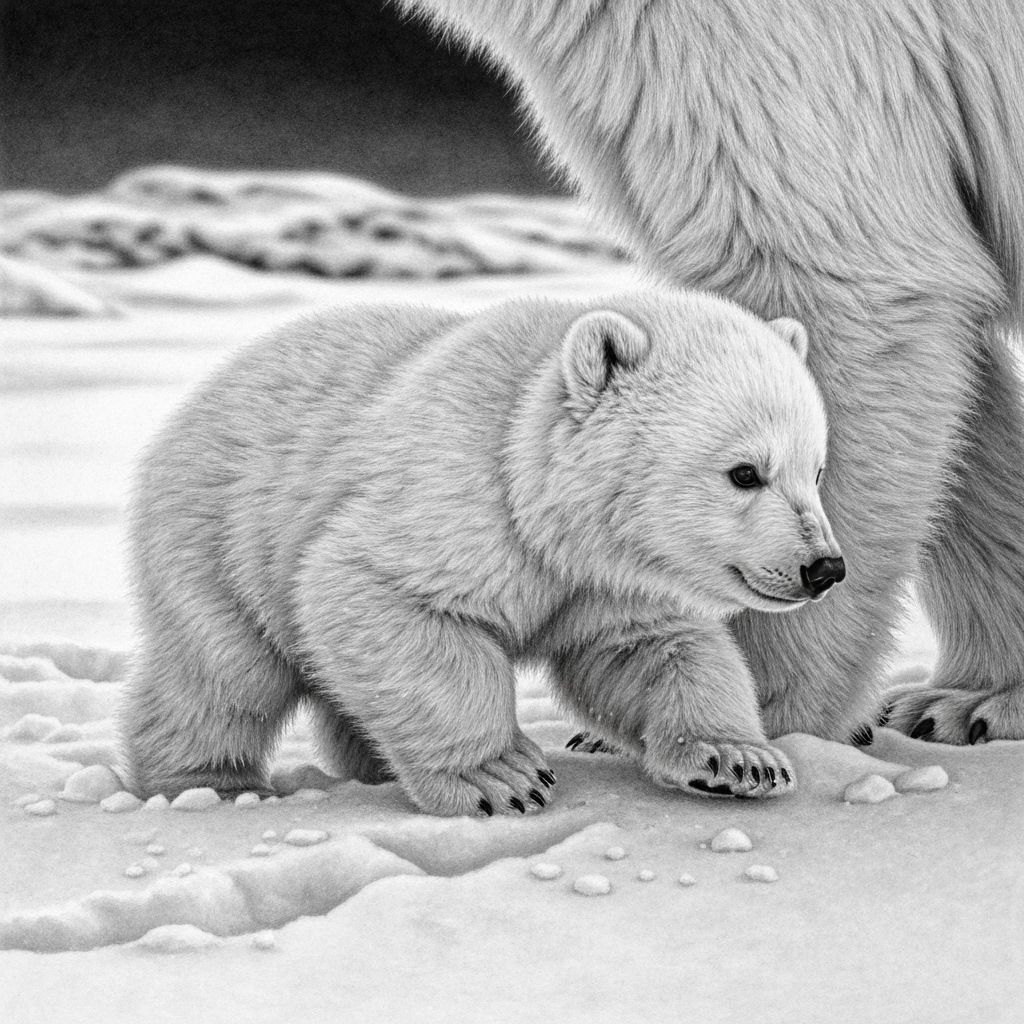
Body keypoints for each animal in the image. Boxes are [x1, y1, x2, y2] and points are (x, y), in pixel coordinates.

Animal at [120, 290, 842, 814]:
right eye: (744, 472)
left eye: (815, 470)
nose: (825, 567)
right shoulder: (452, 499)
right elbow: (373, 591)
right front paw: (502, 777)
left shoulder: (611, 580)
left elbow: (655, 650)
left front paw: (739, 761)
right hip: (222, 530)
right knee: (221, 673)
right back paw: (212, 783)